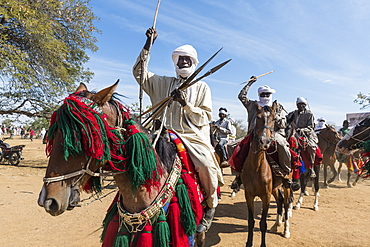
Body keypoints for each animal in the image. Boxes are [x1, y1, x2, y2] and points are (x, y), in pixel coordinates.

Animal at [241, 101, 294, 246]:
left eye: (274, 119)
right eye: (258, 117)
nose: (264, 141)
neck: (256, 167)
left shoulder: (266, 196)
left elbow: (263, 223)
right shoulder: (249, 195)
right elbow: (251, 221)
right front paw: (249, 243)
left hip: (286, 186)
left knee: (286, 203)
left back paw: (286, 231)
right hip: (275, 188)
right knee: (280, 201)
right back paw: (276, 225)